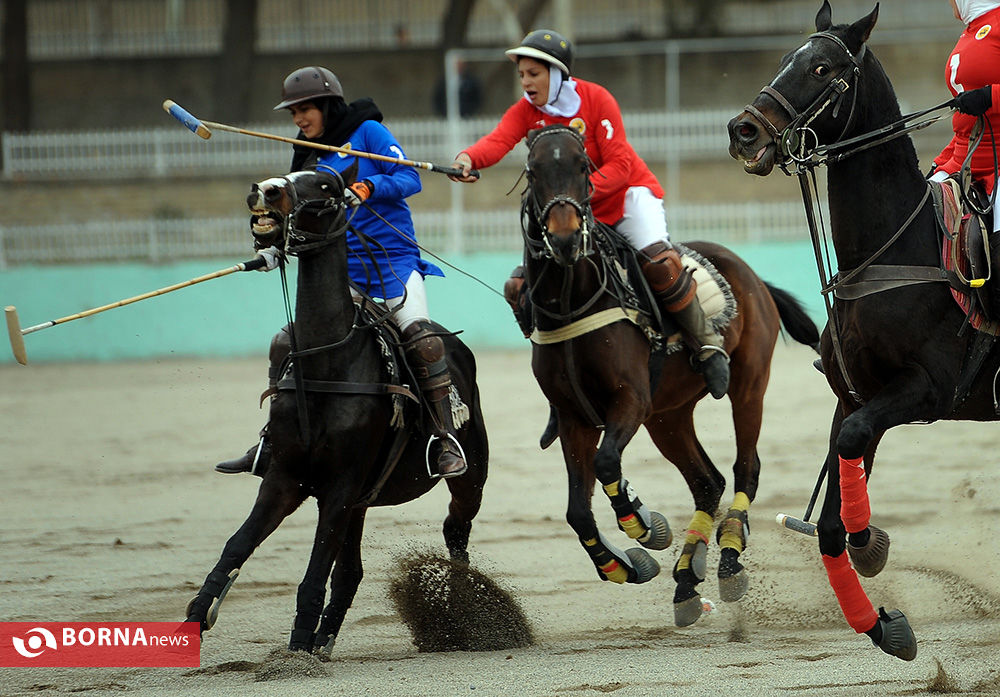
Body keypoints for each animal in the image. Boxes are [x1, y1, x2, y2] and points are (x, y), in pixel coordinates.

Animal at [184, 166, 489, 654]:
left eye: (326, 186)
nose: (262, 191)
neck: (330, 362)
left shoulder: (340, 486)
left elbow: (313, 571)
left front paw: (296, 649)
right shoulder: (285, 477)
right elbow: (237, 544)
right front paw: (196, 616)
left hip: (469, 476)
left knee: (455, 532)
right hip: (361, 502)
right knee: (351, 571)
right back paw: (325, 638)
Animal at [519, 124, 821, 626]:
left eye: (583, 167)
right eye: (533, 170)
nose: (564, 239)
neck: (573, 301)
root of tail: (753, 274)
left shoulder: (630, 400)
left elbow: (607, 463)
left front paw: (643, 526)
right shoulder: (574, 417)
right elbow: (577, 510)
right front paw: (623, 566)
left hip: (748, 384)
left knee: (746, 467)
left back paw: (729, 555)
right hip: (668, 415)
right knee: (707, 482)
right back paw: (685, 581)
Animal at [727, 0, 1000, 661]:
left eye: (822, 67)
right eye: (786, 57)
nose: (743, 131)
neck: (888, 253)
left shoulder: (926, 390)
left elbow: (849, 452)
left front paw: (869, 542)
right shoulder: (854, 395)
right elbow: (828, 524)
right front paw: (882, 622)